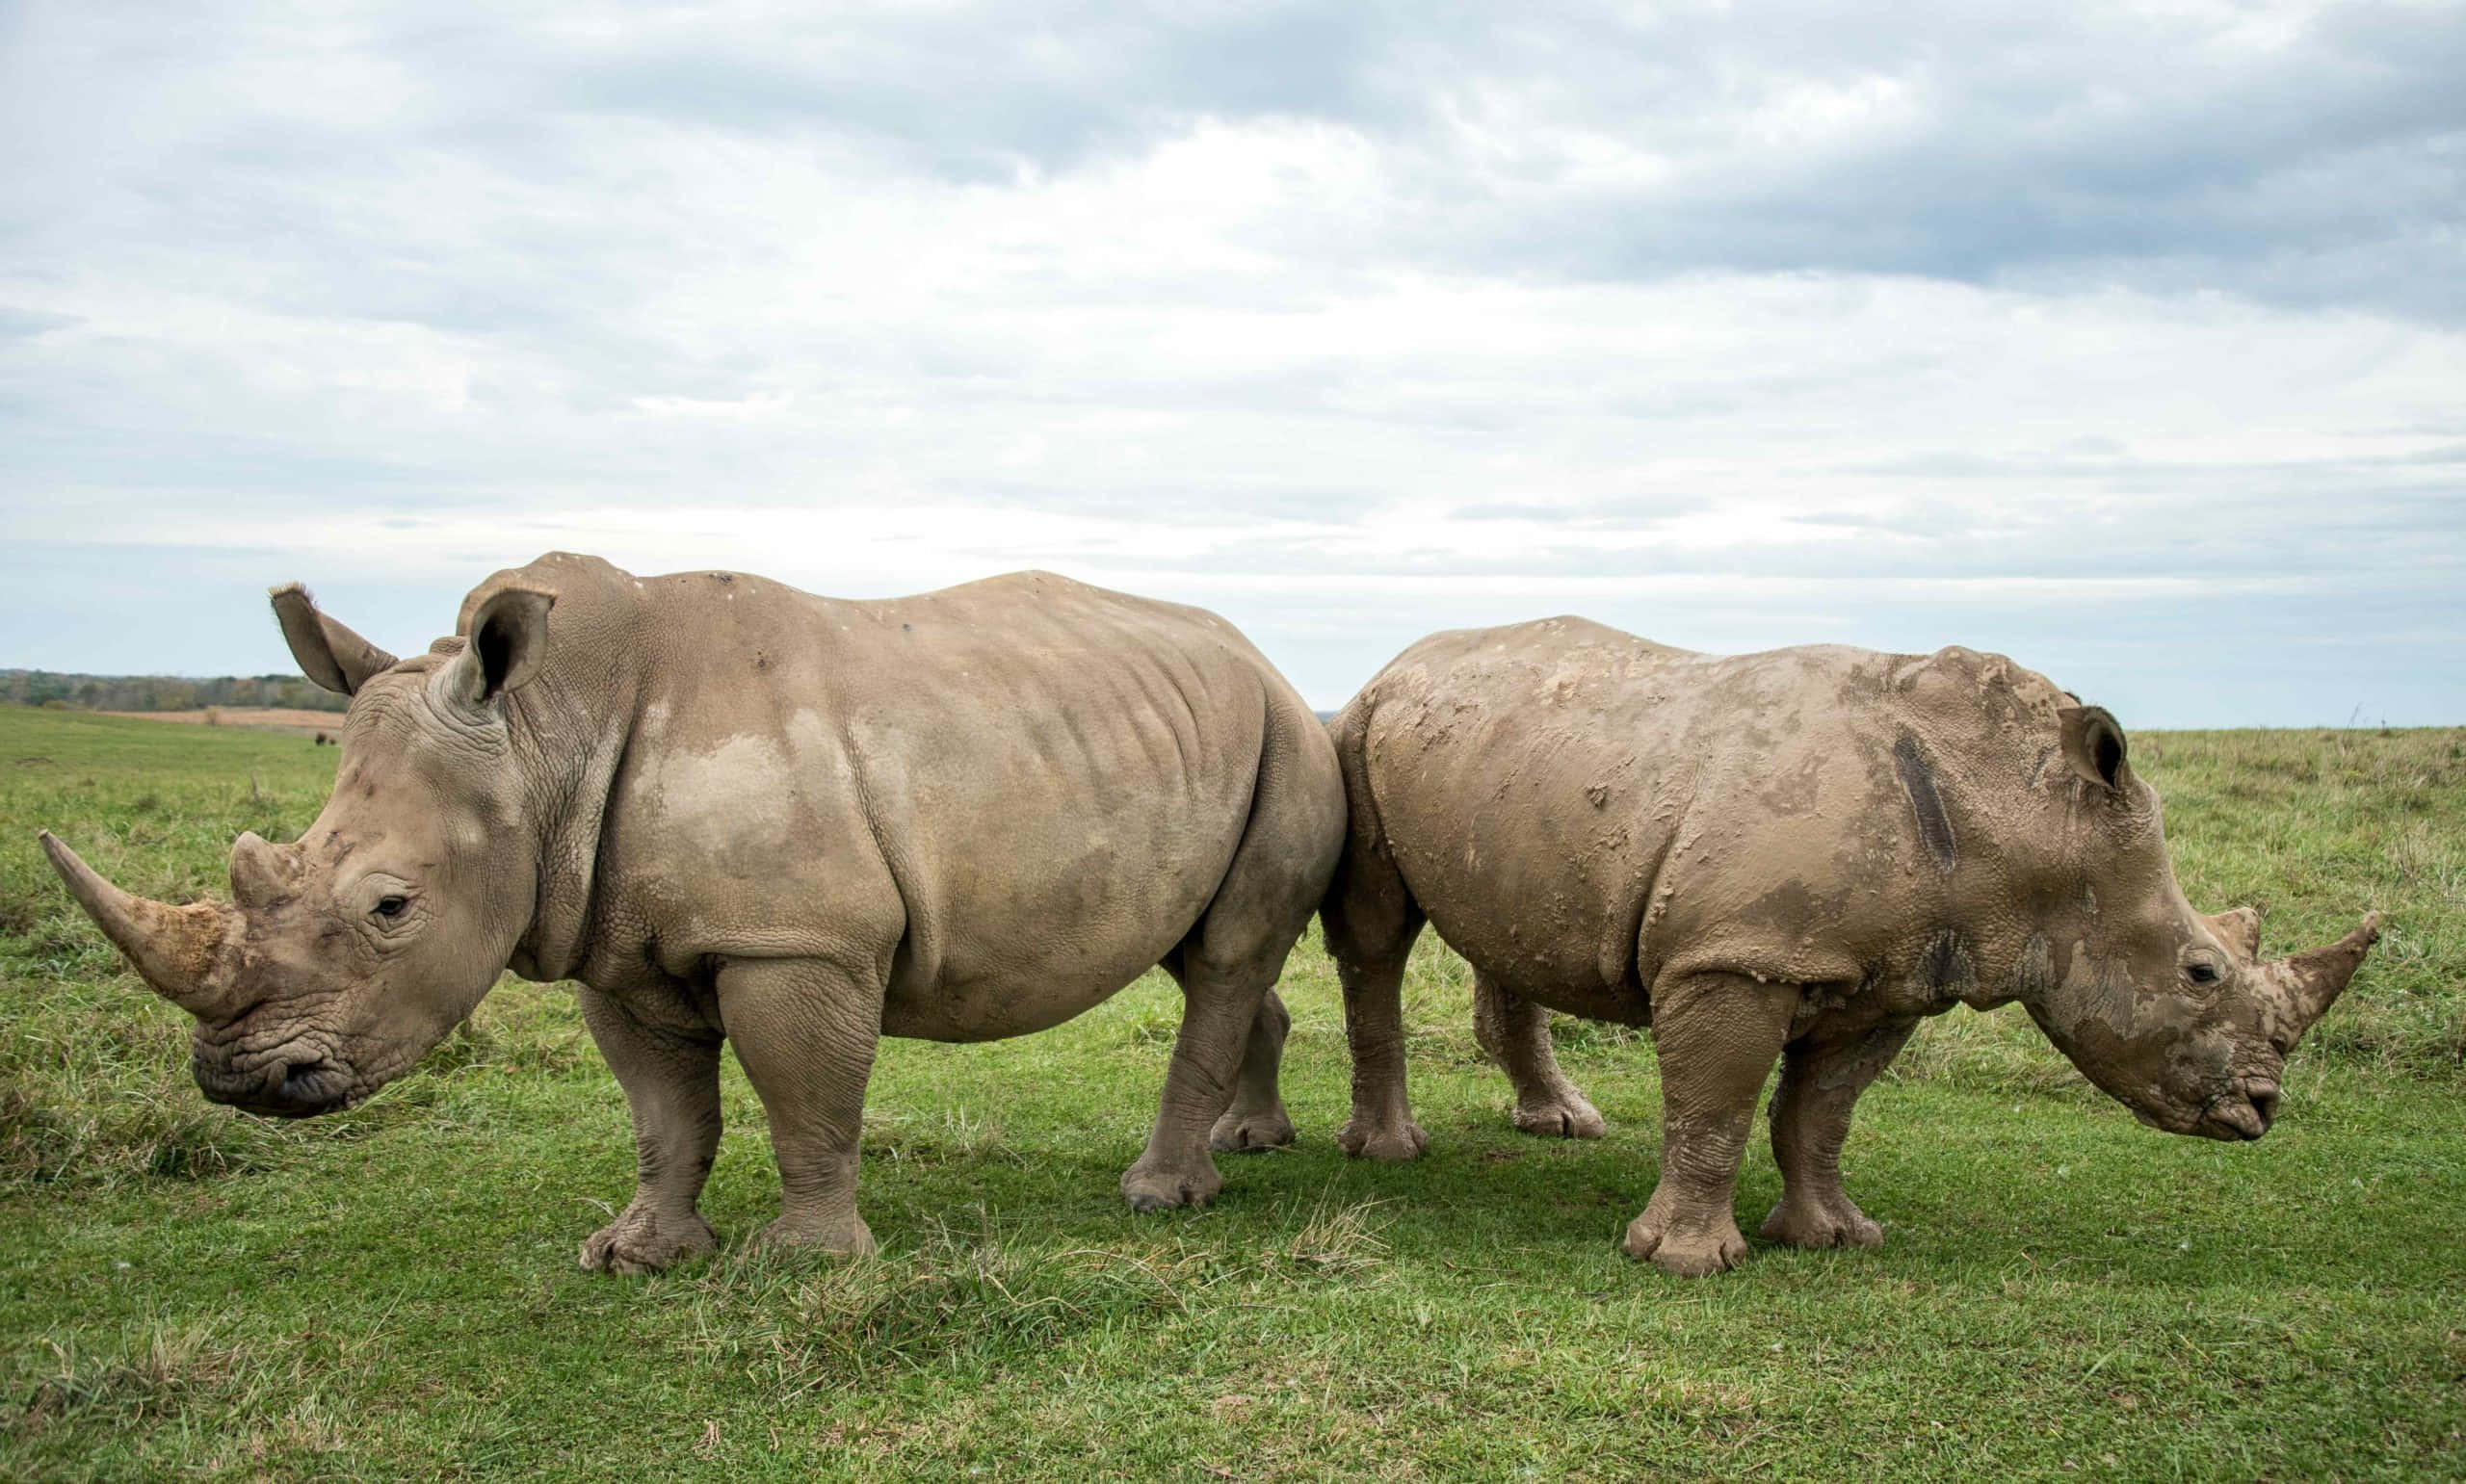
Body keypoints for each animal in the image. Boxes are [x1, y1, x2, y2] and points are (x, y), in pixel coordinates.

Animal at [39, 553, 1344, 1270]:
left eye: (392, 906)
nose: (241, 1079)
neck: (543, 730)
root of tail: (1267, 658)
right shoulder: (610, 942)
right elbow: (665, 1110)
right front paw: (635, 1255)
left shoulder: (796, 937)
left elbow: (805, 1097)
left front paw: (806, 1263)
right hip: (1198, 736)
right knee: (1201, 954)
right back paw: (1248, 1142)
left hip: (1289, 733)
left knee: (1224, 957)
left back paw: (1159, 1196)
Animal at [1322, 619, 2381, 1276]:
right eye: (2199, 972)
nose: (2260, 1109)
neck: (2026, 815)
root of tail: (1401, 660)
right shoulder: (1737, 950)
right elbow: (1713, 1107)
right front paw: (1686, 1262)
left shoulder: (1899, 976)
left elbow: (1821, 1112)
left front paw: (1835, 1237)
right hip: (1361, 731)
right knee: (1377, 937)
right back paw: (1391, 1153)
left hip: (1502, 760)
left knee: (1504, 931)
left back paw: (1563, 1123)